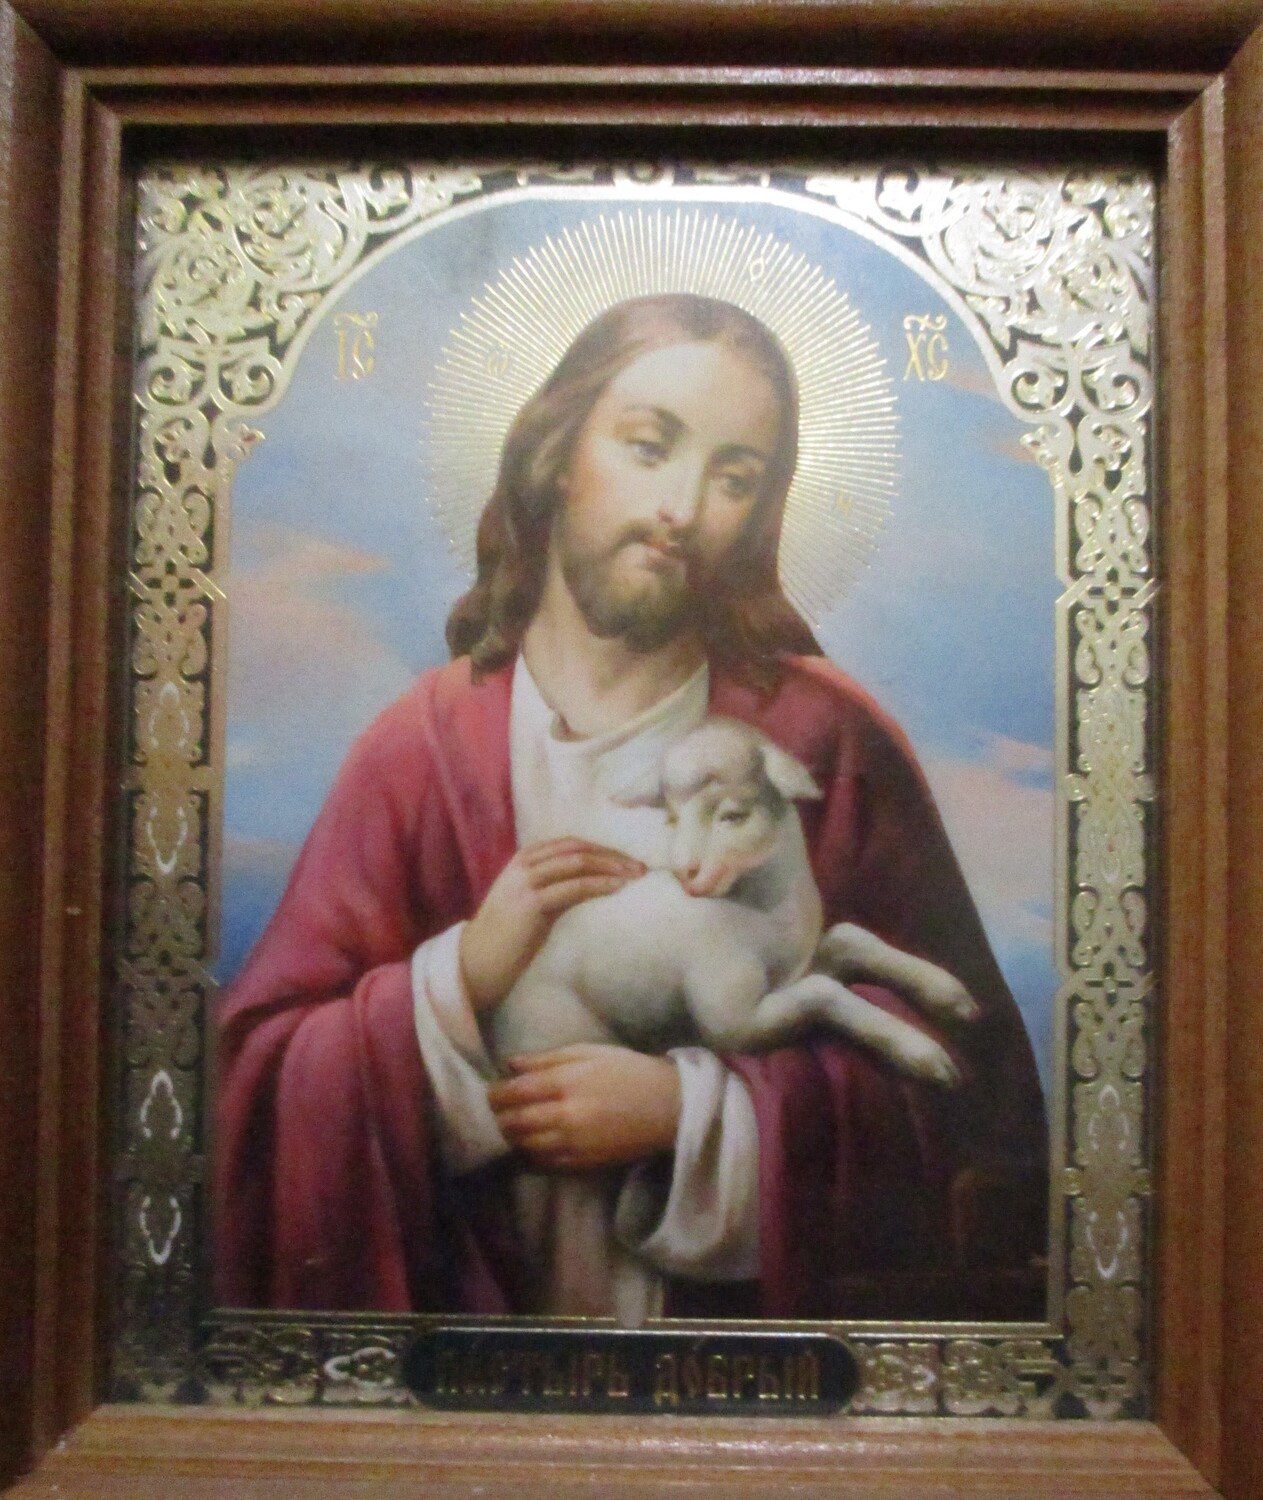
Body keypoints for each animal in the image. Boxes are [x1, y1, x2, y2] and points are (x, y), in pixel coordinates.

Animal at [490, 717, 979, 1086]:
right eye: (671, 819)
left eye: (732, 816)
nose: (685, 872)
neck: (764, 912)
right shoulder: (732, 1025)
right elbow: (823, 991)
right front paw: (920, 1051)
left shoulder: (794, 970)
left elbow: (849, 936)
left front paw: (949, 993)